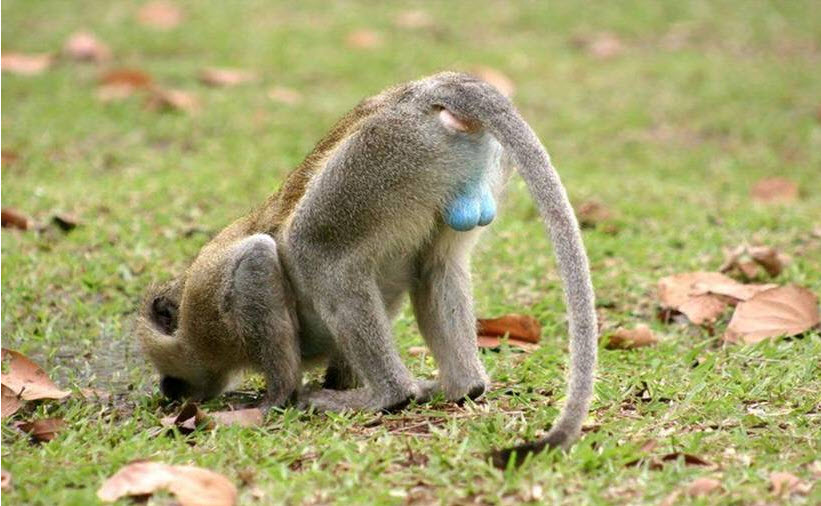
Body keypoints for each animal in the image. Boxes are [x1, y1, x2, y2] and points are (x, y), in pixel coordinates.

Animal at [136, 71, 597, 467]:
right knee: (437, 266)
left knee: (313, 250)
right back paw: (459, 385)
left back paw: (389, 395)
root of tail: (422, 92)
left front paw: (275, 401)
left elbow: (258, 260)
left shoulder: (208, 303)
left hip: (385, 150)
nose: (168, 391)